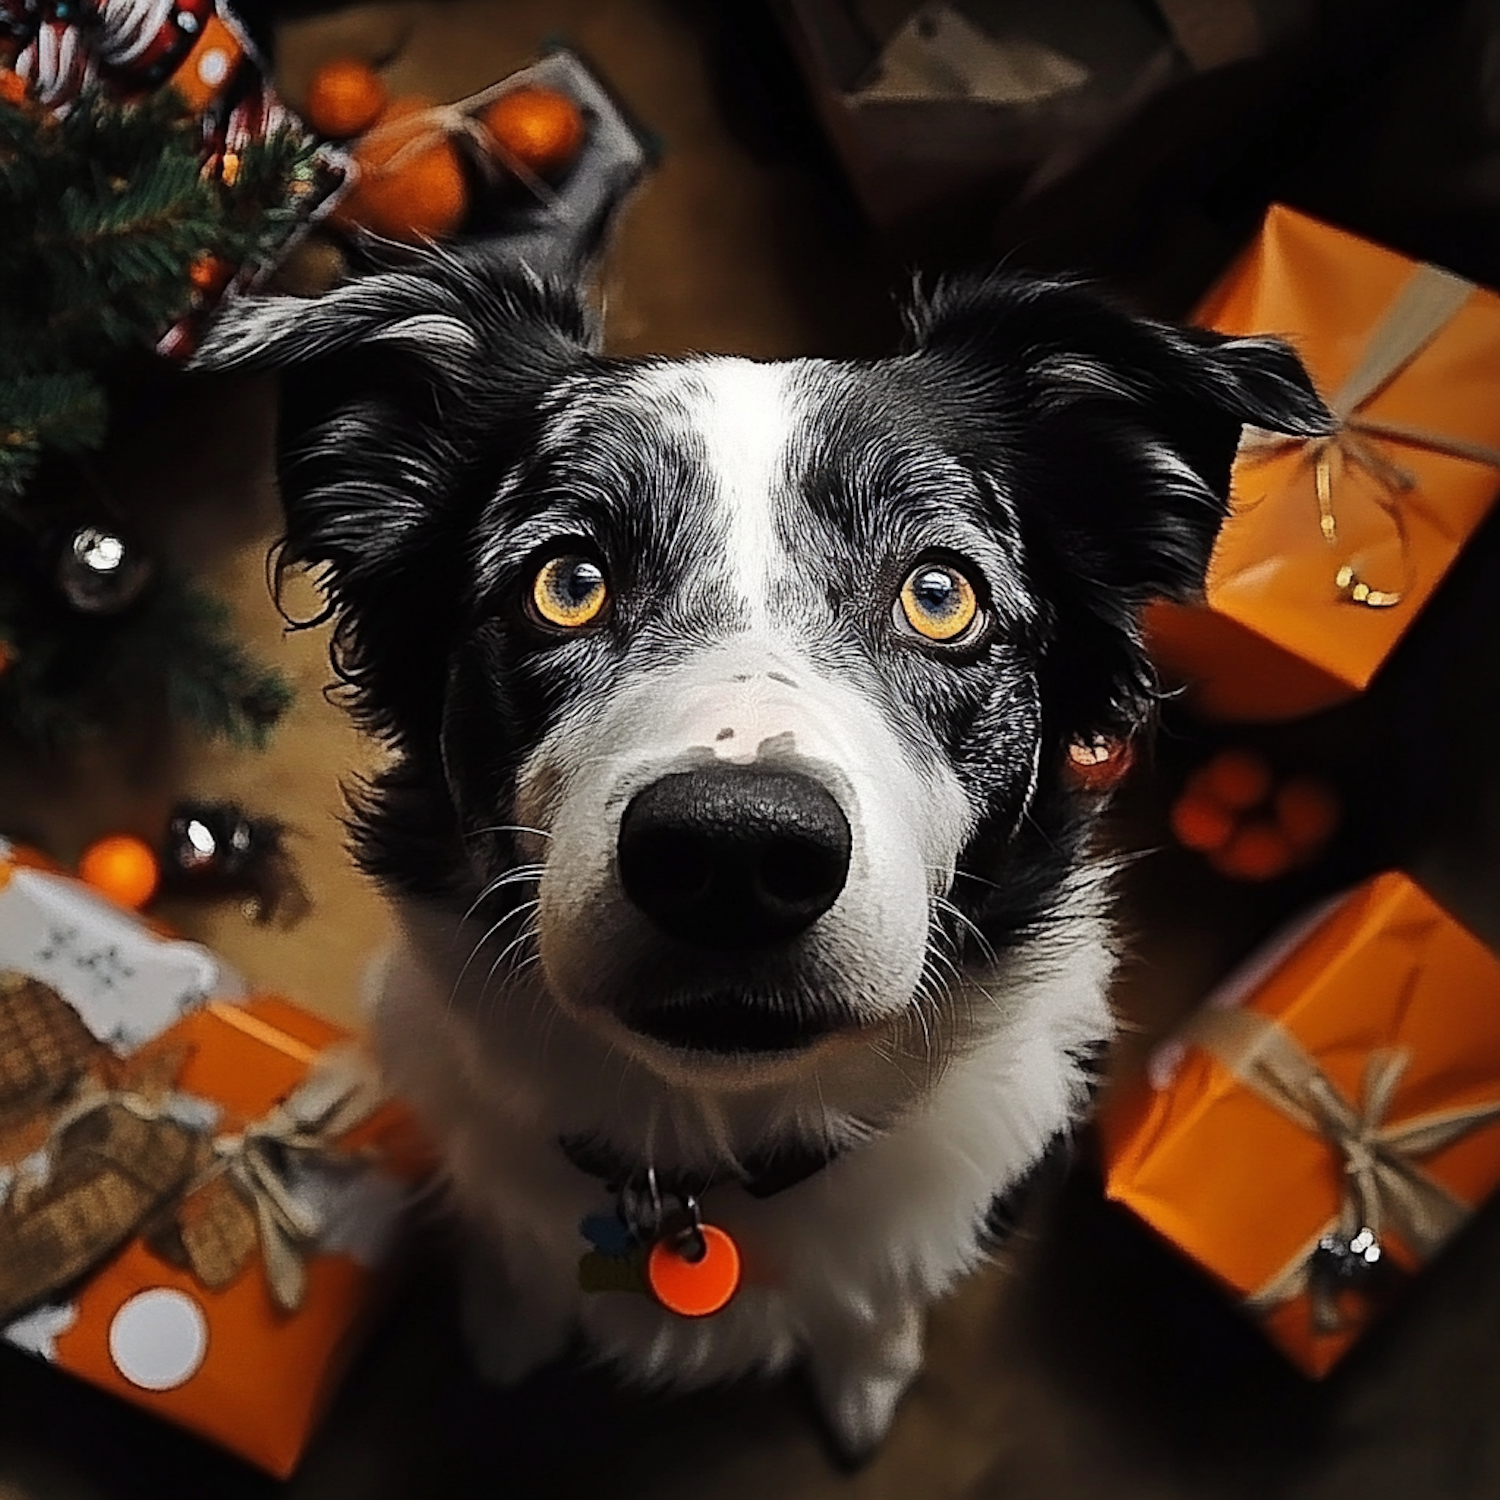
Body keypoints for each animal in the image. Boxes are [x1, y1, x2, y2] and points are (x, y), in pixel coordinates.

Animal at [196, 252, 1326, 1458]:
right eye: (567, 583)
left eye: (940, 595)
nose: (734, 855)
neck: (705, 1157)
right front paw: (508, 1325)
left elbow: (881, 1297)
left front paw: (869, 1376)